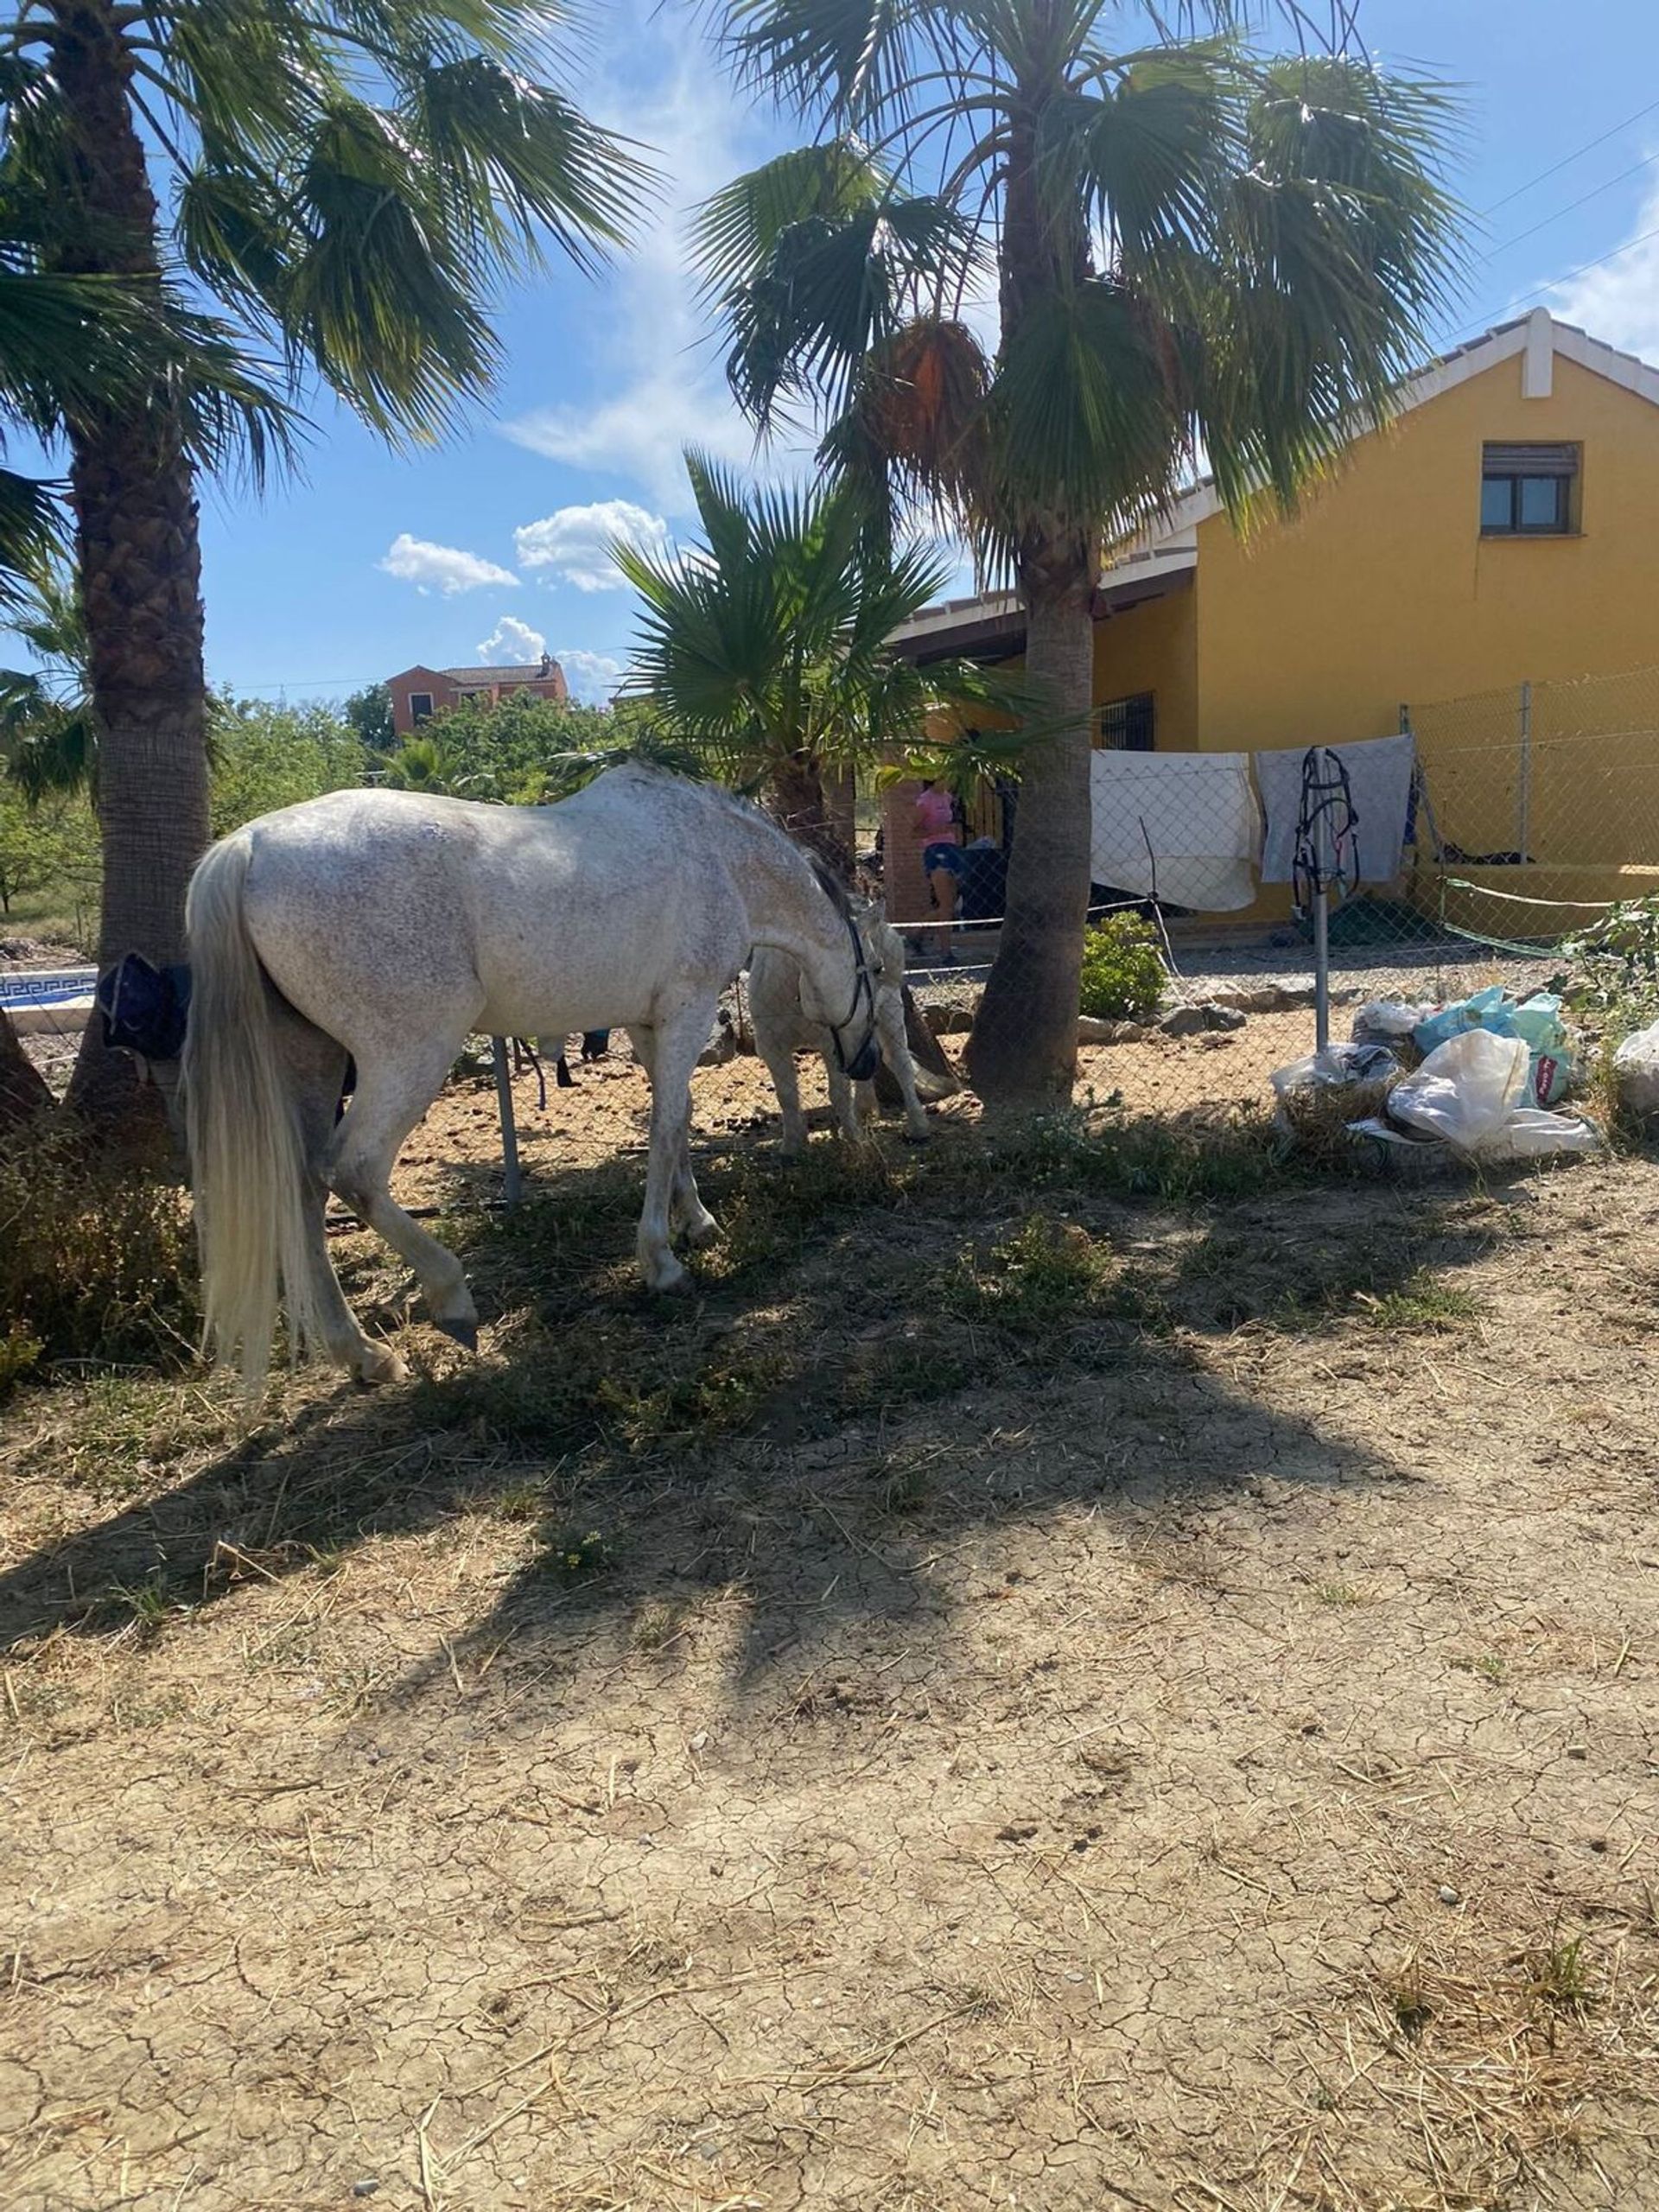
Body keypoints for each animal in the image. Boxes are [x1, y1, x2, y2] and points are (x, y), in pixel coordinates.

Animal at [181, 769, 885, 1389]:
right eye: (876, 971)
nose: (868, 1063)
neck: (719, 857)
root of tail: (250, 847)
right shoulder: (685, 1009)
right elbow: (664, 1129)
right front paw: (662, 1261)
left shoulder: (647, 1023)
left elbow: (678, 1118)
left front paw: (699, 1223)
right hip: (408, 1055)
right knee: (351, 1172)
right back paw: (451, 1299)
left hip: (313, 1060)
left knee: (302, 1191)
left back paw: (363, 1356)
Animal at [752, 893, 946, 1150]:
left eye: (879, 968)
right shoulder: (772, 1046)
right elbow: (786, 1096)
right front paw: (792, 1146)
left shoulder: (833, 1045)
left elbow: (839, 1094)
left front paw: (854, 1140)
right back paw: (863, 1112)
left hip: (890, 1015)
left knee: (900, 1064)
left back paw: (917, 1128)